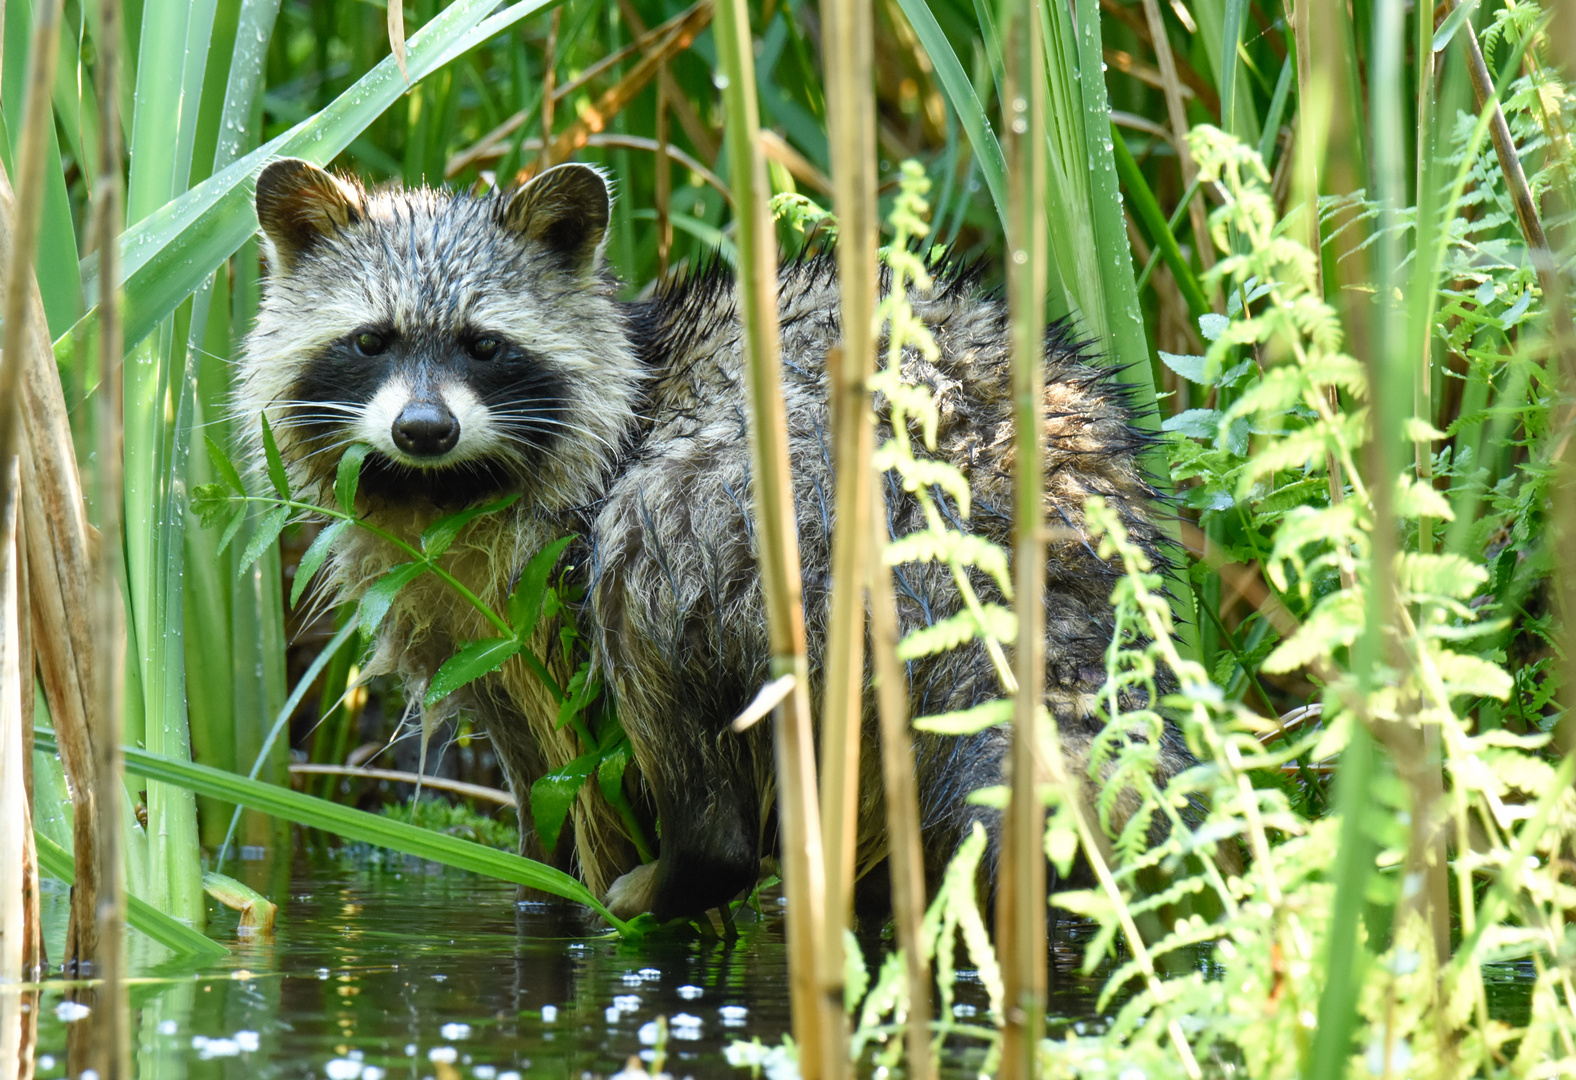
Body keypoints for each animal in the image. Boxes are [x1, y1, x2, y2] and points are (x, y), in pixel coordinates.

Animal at [239, 156, 1185, 920]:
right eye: (371, 340)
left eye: (484, 346)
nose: (424, 429)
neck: (444, 493)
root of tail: (992, 461)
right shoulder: (473, 624)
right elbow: (533, 783)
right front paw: (538, 885)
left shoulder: (548, 582)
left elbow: (585, 770)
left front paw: (575, 894)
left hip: (765, 504)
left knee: (641, 569)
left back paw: (693, 860)